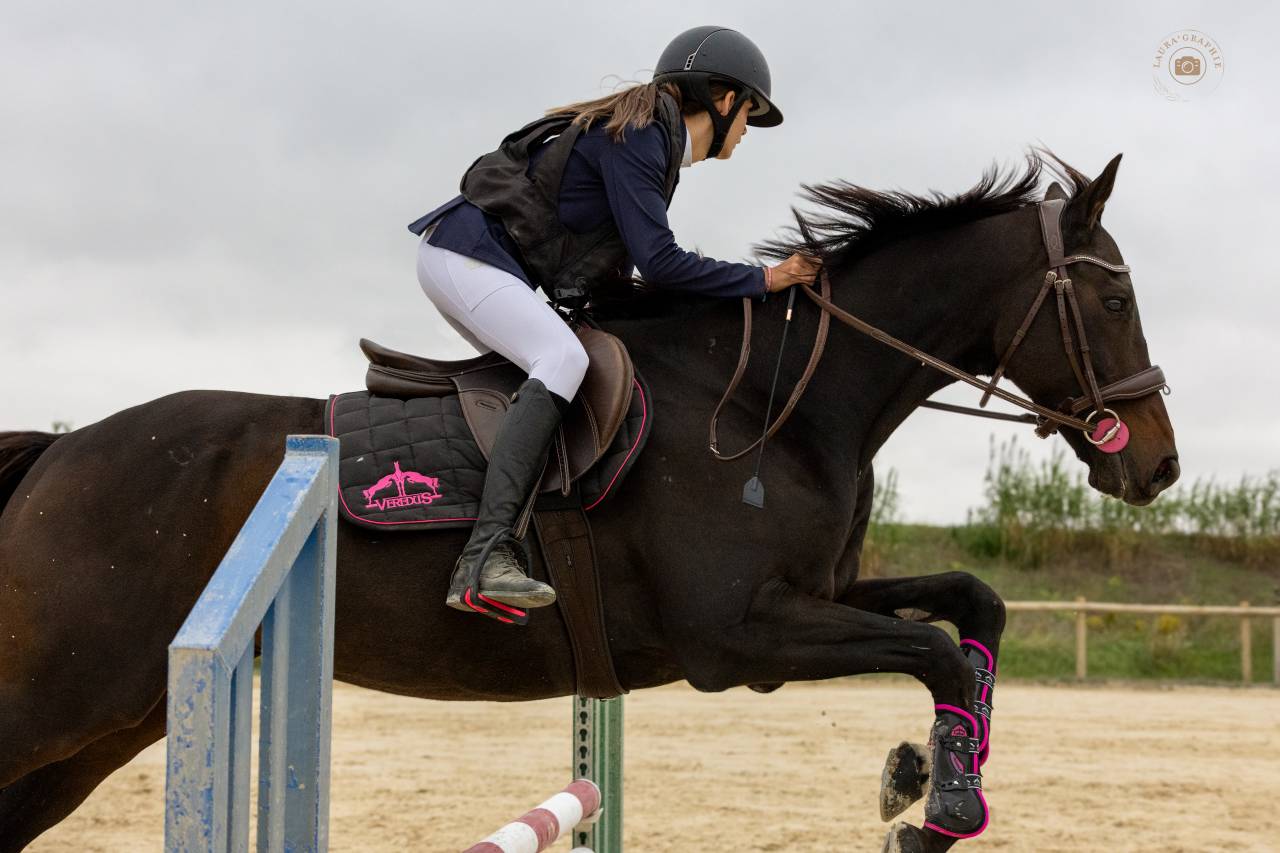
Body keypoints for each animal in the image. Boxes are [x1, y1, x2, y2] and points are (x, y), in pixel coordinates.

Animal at [0, 148, 1178, 851]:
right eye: (1114, 297)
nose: (1159, 466)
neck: (780, 399)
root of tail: (59, 455)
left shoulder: (811, 595)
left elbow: (971, 606)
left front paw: (922, 770)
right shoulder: (737, 639)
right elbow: (933, 645)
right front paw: (936, 803)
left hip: (112, 721)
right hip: (61, 697)